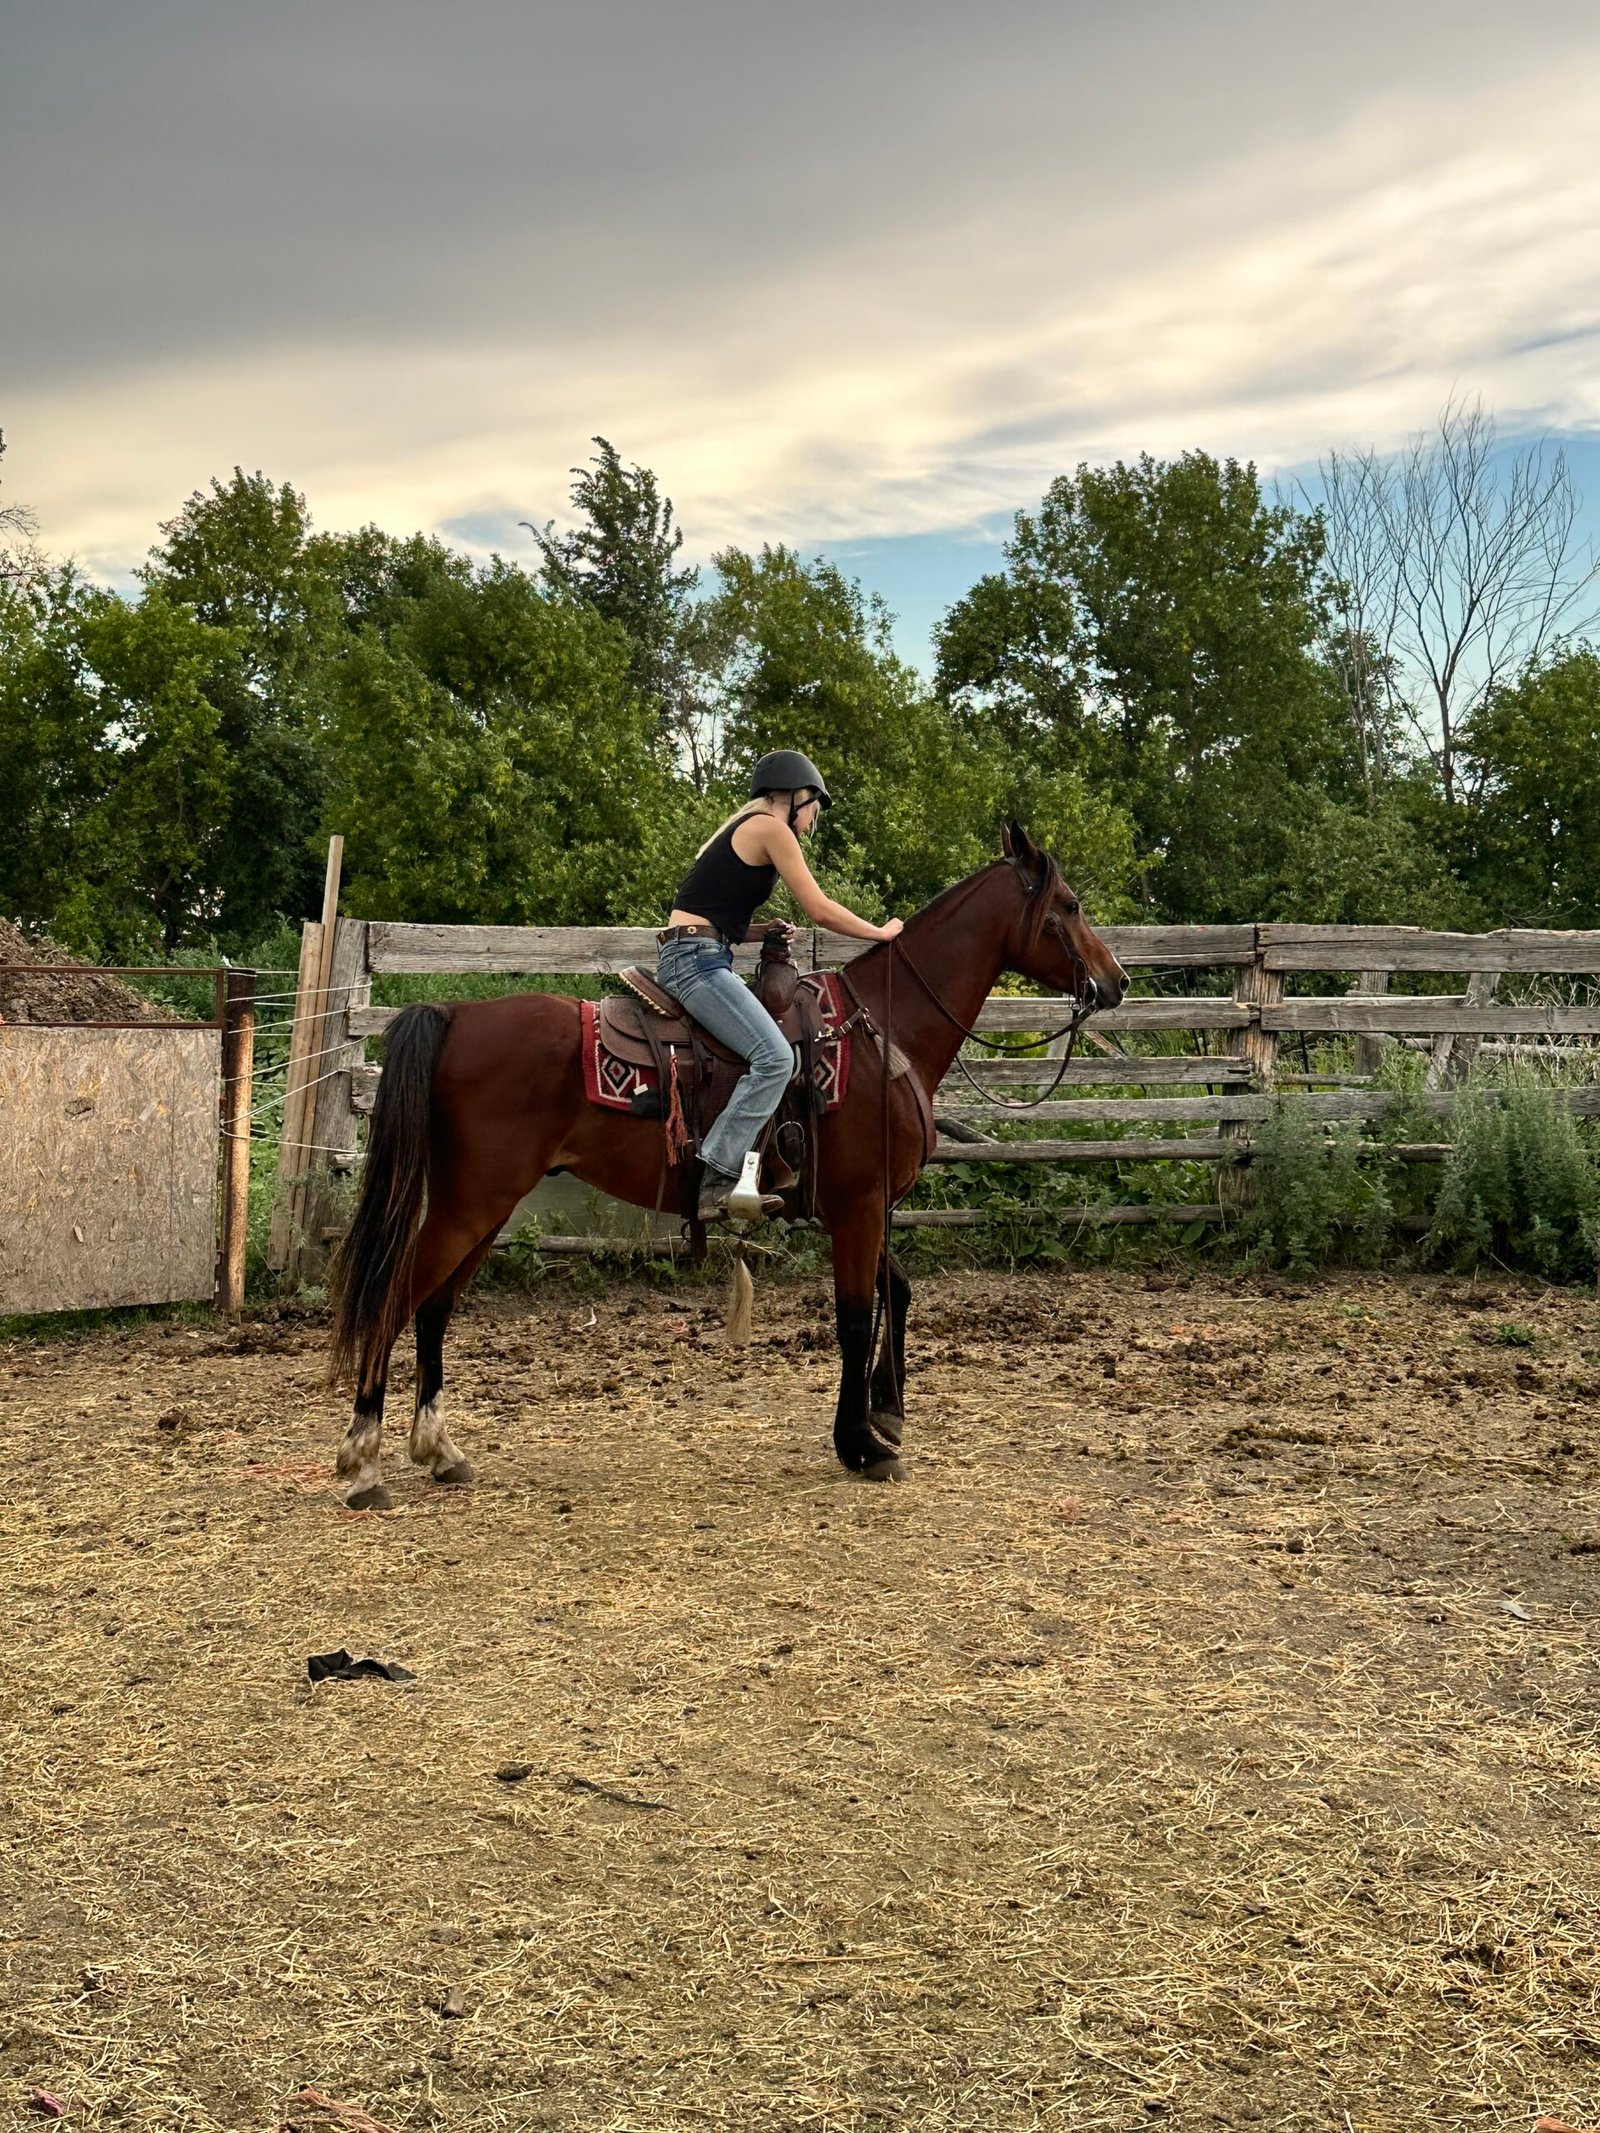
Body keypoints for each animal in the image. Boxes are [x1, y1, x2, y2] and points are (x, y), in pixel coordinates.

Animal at [327, 822, 1128, 1507]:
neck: (883, 1030)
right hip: (471, 1202)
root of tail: (455, 1013)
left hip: (485, 1205)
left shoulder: (862, 1206)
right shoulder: (859, 1206)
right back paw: (363, 1460)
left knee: (433, 1306)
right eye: (1070, 905)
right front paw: (861, 1445)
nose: (1116, 982)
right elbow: (854, 1316)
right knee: (396, 1295)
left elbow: (894, 1293)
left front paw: (886, 1415)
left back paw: (438, 1451)